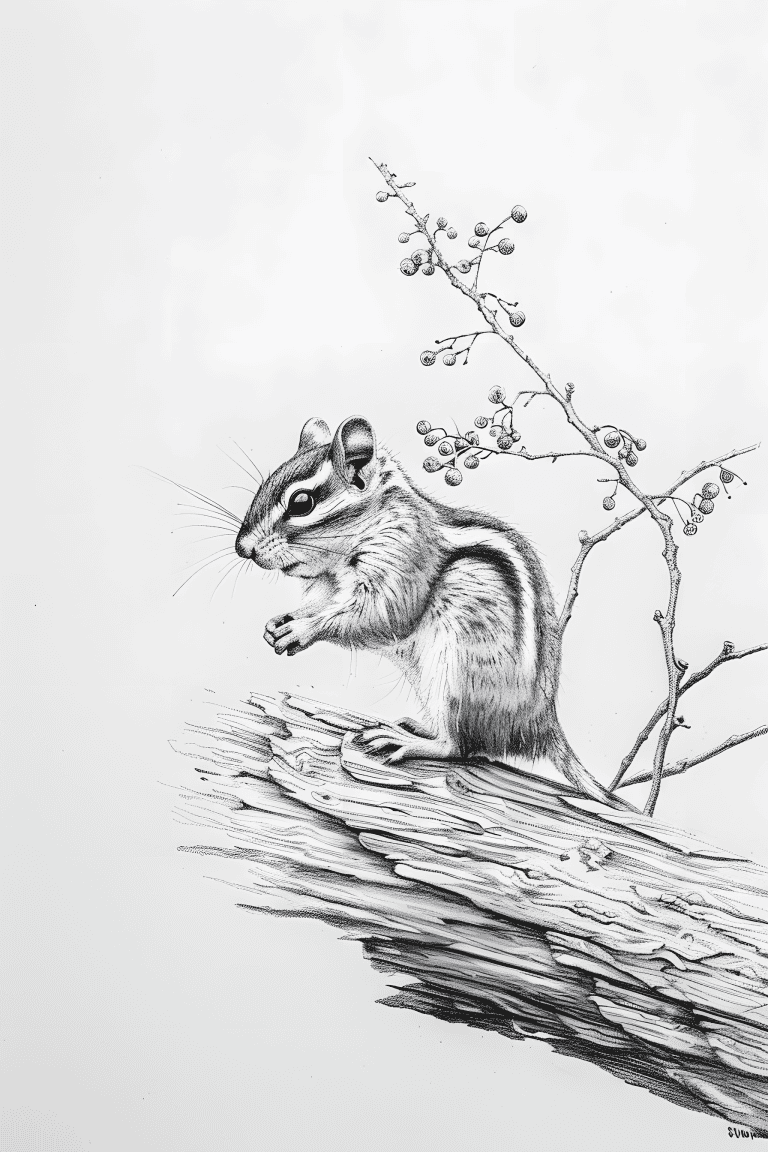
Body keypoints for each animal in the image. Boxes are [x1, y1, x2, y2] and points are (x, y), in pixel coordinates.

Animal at [235, 415, 630, 809]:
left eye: (301, 502)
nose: (243, 548)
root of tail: (541, 724)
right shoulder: (329, 586)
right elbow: (322, 603)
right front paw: (279, 623)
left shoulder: (402, 558)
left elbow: (381, 616)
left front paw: (302, 630)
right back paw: (417, 726)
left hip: (459, 669)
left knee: (458, 746)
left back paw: (410, 741)